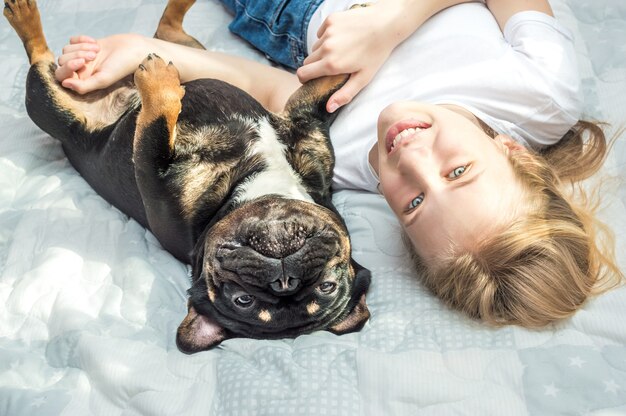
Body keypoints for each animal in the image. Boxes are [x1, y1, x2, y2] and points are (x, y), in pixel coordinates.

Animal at [2, 0, 368, 352]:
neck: (252, 188)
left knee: (40, 64)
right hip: (193, 57)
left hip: (47, 106)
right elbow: (327, 81)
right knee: (168, 32)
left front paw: (155, 85)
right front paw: (355, 31)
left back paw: (26, 18)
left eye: (243, 300)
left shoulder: (153, 182)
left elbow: (152, 128)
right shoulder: (306, 126)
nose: (284, 279)